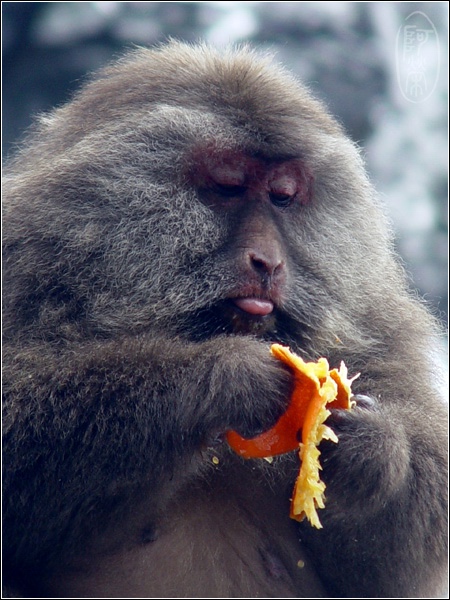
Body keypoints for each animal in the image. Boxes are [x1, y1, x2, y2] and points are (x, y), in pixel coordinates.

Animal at [1, 39, 448, 596]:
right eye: (229, 187)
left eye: (282, 196)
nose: (269, 263)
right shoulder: (23, 269)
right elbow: (16, 427)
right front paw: (228, 376)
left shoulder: (372, 324)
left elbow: (385, 574)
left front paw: (372, 447)